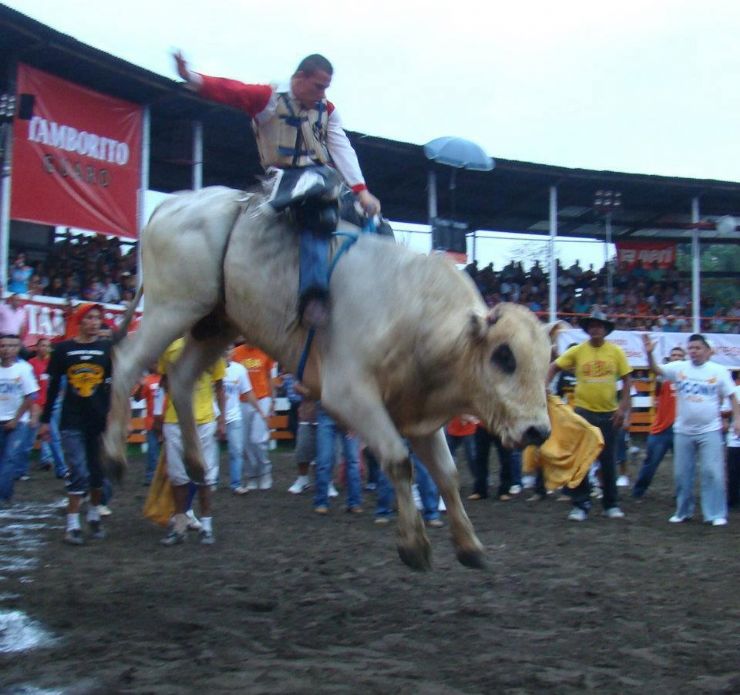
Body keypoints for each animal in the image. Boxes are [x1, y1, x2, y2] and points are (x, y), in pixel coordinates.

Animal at [107, 186, 552, 572]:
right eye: (504, 356)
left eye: (546, 361)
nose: (539, 431)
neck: (412, 312)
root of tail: (172, 205)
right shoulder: (348, 394)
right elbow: (397, 460)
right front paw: (414, 546)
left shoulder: (419, 412)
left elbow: (446, 474)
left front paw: (469, 546)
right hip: (173, 308)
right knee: (126, 362)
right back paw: (113, 459)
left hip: (216, 323)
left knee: (180, 378)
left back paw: (198, 464)